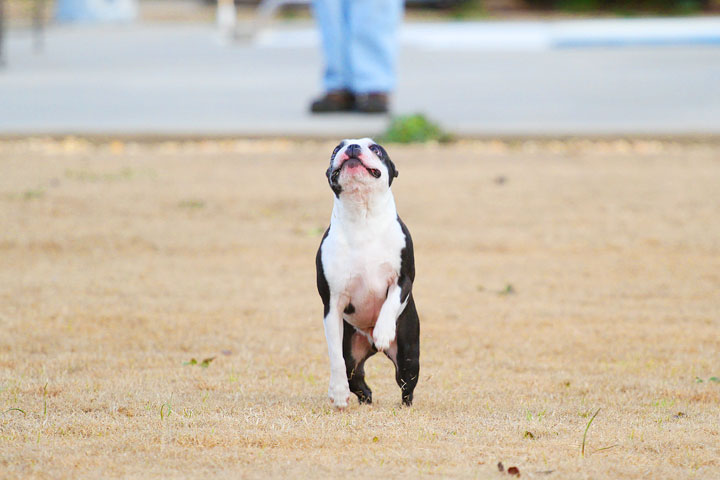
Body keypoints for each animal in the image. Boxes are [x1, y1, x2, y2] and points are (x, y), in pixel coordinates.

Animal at [312, 139, 420, 408]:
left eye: (376, 149)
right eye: (335, 149)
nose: (351, 147)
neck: (363, 217)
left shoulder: (403, 279)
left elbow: (391, 302)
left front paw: (383, 331)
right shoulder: (332, 303)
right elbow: (335, 356)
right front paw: (338, 391)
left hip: (409, 357)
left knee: (407, 386)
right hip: (352, 350)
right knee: (357, 379)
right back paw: (364, 398)